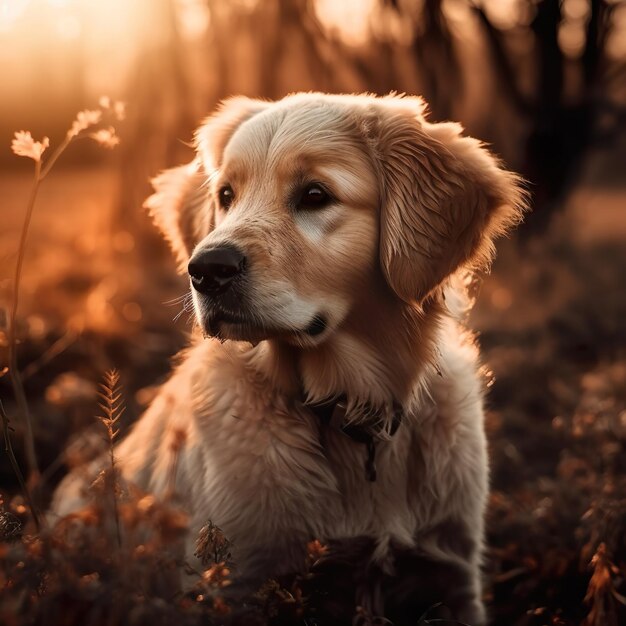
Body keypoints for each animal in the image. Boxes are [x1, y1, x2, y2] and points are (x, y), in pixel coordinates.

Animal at [53, 91, 524, 620]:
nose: (206, 269)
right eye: (226, 196)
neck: (352, 412)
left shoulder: (453, 574)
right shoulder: (235, 581)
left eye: (315, 195)